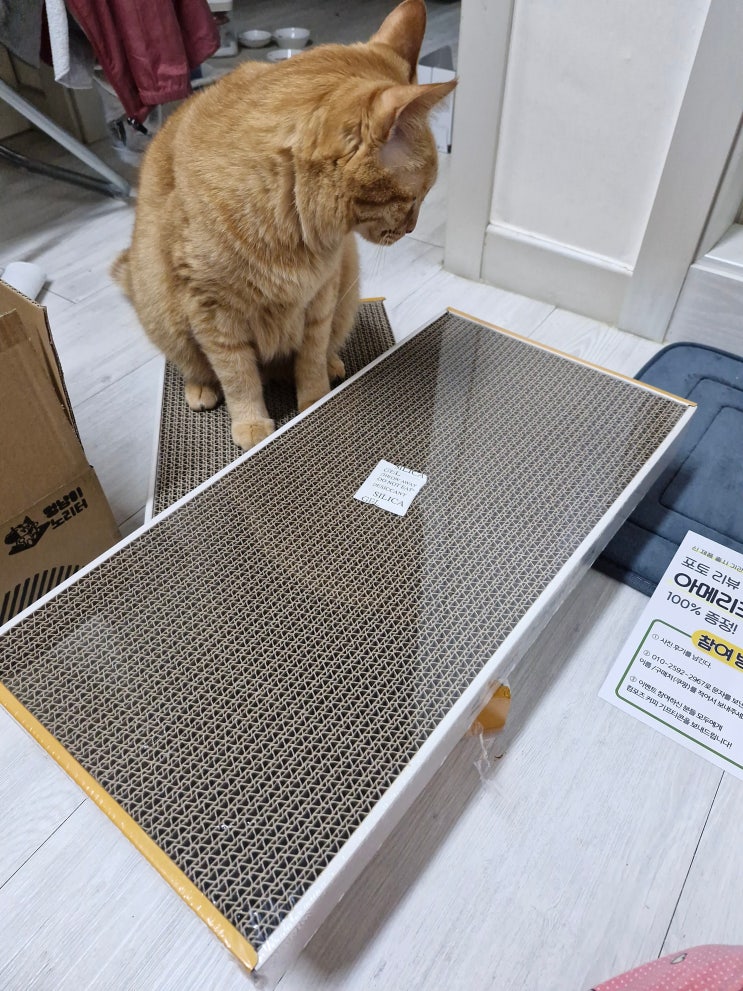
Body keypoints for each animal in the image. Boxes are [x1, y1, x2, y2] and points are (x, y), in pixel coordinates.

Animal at [111, 0, 456, 450]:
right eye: (414, 199)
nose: (412, 229)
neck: (292, 228)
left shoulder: (321, 297)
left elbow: (309, 357)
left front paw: (314, 399)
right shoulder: (212, 312)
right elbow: (238, 375)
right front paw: (252, 424)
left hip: (347, 293)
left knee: (321, 349)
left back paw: (332, 364)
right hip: (161, 309)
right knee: (194, 364)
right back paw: (201, 388)